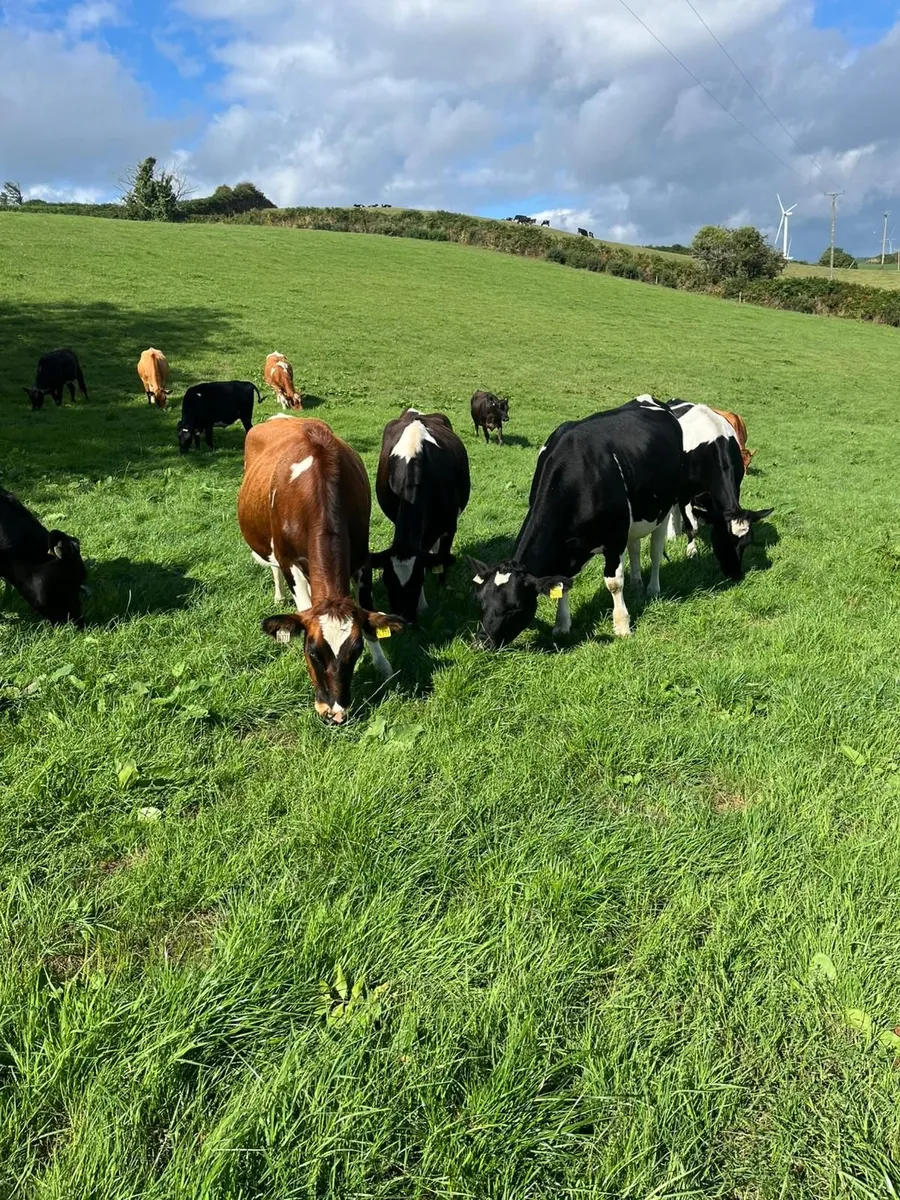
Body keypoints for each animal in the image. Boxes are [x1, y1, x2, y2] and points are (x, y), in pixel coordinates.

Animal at [238, 416, 405, 724]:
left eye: (356, 652)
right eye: (312, 652)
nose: (334, 714)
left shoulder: (362, 558)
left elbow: (369, 615)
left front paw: (384, 667)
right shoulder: (289, 561)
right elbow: (302, 606)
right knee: (275, 570)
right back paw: (279, 597)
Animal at [370, 410, 471, 622]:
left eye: (417, 582)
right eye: (387, 581)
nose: (404, 618)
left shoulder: (449, 526)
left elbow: (441, 557)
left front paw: (438, 589)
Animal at [469, 397, 686, 648]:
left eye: (515, 608)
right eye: (481, 602)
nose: (481, 643)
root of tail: (652, 399)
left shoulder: (614, 538)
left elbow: (614, 583)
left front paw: (622, 626)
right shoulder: (568, 546)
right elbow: (563, 583)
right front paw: (562, 625)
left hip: (664, 507)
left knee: (656, 549)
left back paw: (652, 588)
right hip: (634, 518)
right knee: (634, 546)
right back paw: (637, 584)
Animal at [665, 400, 771, 576]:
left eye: (746, 544)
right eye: (724, 540)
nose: (735, 574)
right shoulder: (684, 493)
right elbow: (691, 527)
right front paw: (691, 552)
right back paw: (672, 534)